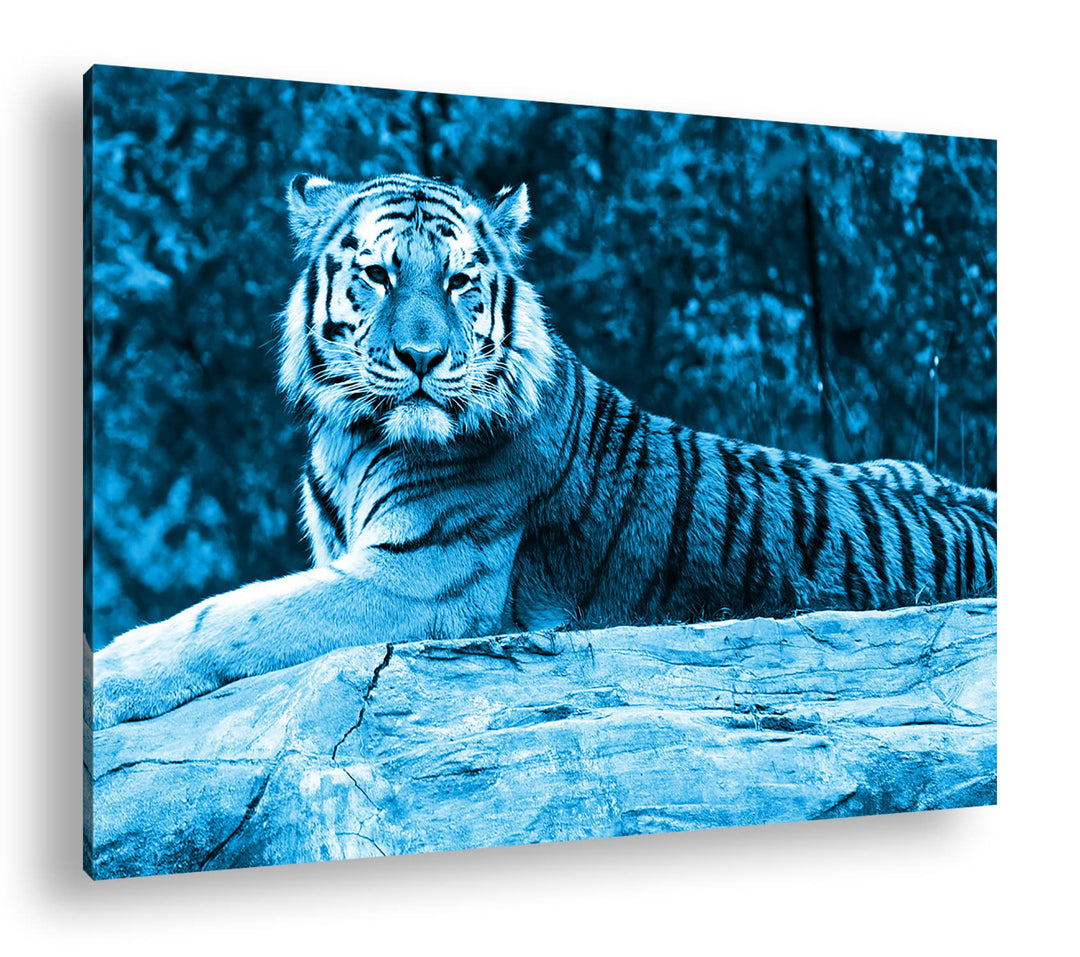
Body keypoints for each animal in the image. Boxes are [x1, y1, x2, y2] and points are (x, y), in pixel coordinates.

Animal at [91, 171, 997, 730]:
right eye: (380, 275)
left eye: (459, 281)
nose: (423, 358)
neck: (352, 433)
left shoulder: (427, 576)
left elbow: (233, 615)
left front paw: (111, 676)